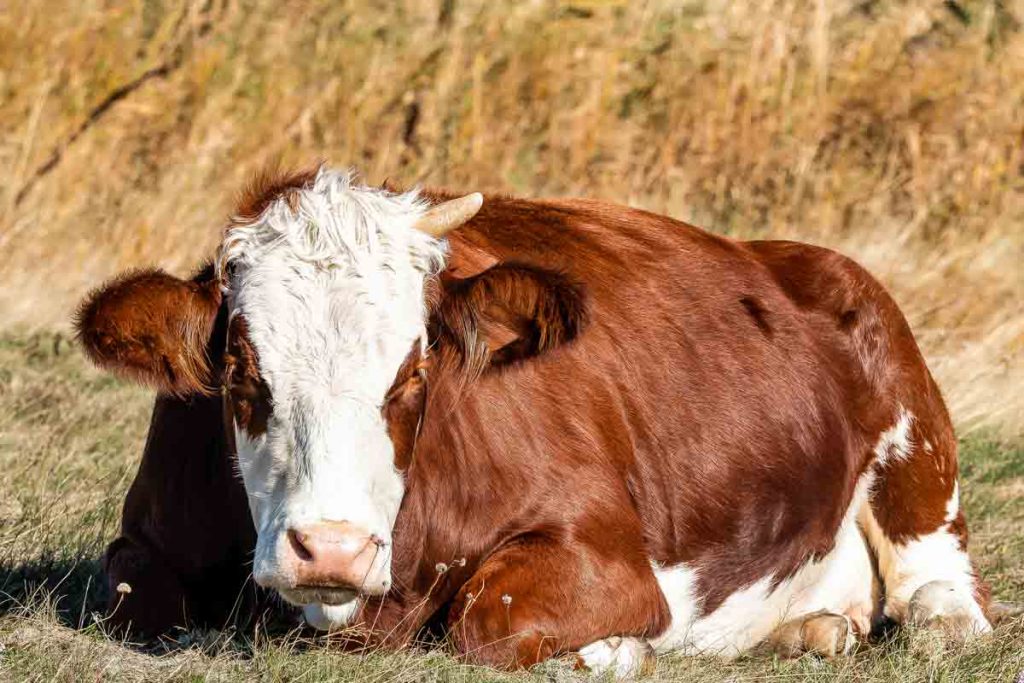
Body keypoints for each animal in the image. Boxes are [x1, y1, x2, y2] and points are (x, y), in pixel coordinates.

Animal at [77, 167, 991, 675]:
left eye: (416, 371)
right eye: (240, 367)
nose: (330, 548)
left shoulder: (609, 554)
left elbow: (490, 616)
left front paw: (614, 650)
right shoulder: (146, 536)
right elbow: (132, 599)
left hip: (914, 438)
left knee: (941, 593)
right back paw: (812, 630)